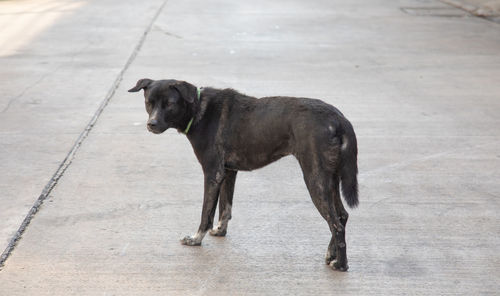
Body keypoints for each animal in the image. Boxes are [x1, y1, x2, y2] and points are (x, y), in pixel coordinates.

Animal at [127, 78, 358, 270]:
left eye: (170, 104)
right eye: (149, 102)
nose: (151, 124)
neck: (198, 110)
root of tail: (339, 118)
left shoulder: (212, 173)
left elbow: (206, 213)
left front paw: (196, 239)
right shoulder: (229, 172)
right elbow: (225, 206)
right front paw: (220, 231)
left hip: (315, 178)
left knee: (336, 224)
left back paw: (341, 265)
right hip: (329, 179)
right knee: (342, 216)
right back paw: (331, 254)